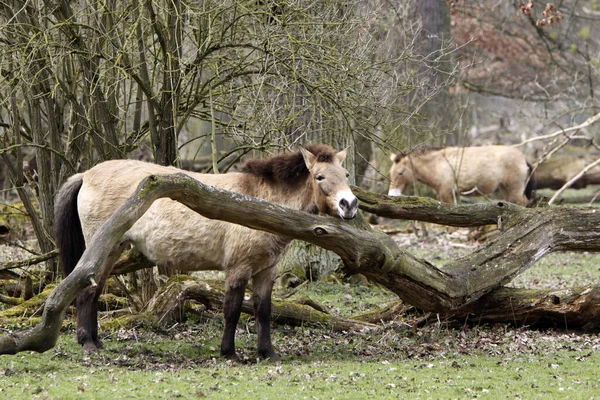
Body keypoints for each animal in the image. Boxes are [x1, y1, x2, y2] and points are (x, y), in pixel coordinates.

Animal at [55, 143, 356, 360]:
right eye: (319, 177)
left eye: (346, 175)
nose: (350, 204)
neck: (259, 203)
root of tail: (85, 175)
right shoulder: (238, 269)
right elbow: (232, 310)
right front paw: (229, 353)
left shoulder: (266, 272)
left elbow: (264, 311)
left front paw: (268, 353)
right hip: (103, 248)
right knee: (87, 291)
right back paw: (88, 344)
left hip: (114, 249)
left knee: (94, 291)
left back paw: (95, 341)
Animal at [390, 145, 536, 205]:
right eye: (391, 173)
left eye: (401, 173)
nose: (392, 194)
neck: (439, 163)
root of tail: (523, 157)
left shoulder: (446, 193)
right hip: (504, 188)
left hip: (515, 188)